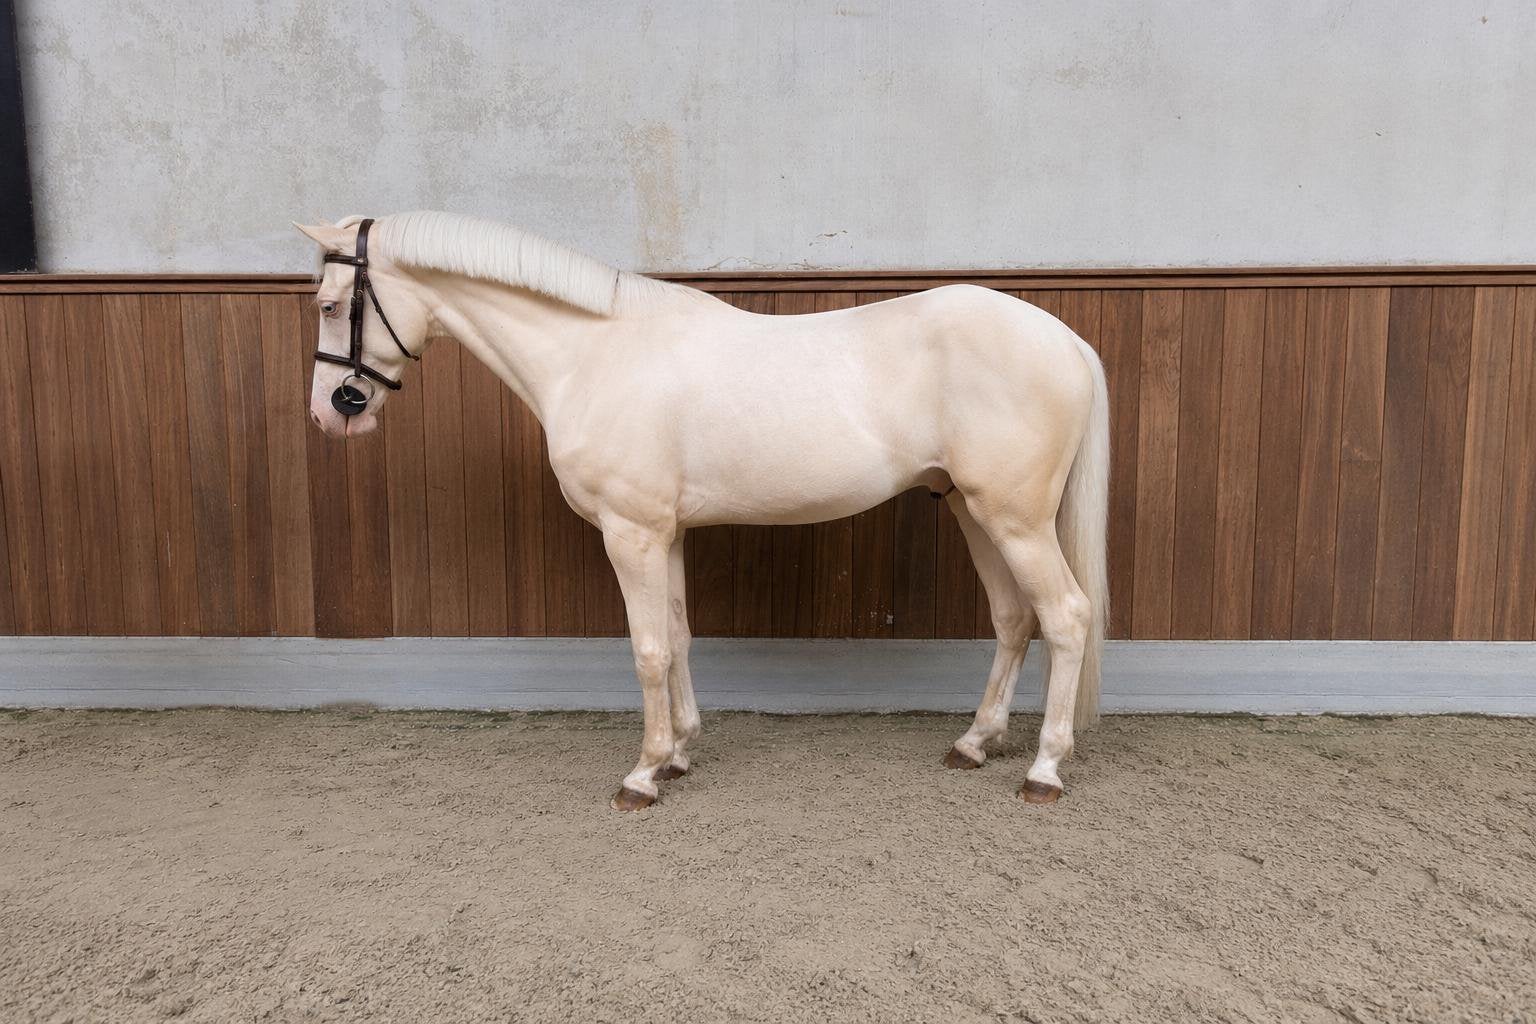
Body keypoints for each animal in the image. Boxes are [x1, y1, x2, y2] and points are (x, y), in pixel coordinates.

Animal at [295, 211, 1109, 811]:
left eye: (330, 306)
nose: (331, 413)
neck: (594, 354)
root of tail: (1066, 339)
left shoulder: (631, 533)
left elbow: (649, 649)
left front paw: (643, 775)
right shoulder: (668, 532)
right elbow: (680, 637)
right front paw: (682, 753)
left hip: (1015, 520)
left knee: (1066, 616)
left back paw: (1043, 769)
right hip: (975, 511)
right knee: (1015, 618)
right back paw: (975, 743)